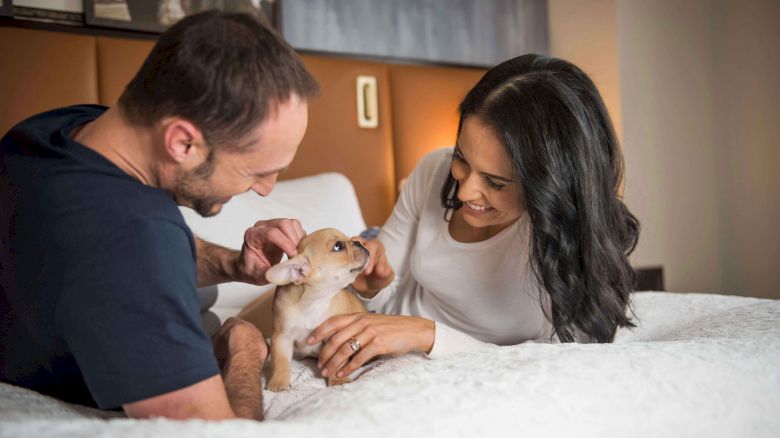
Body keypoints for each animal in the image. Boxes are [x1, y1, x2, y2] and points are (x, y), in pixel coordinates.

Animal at [266, 229, 368, 390]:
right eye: (338, 246)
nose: (359, 242)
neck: (314, 301)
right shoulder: (282, 336)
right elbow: (280, 361)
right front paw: (278, 382)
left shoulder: (336, 338)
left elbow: (337, 364)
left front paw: (338, 381)